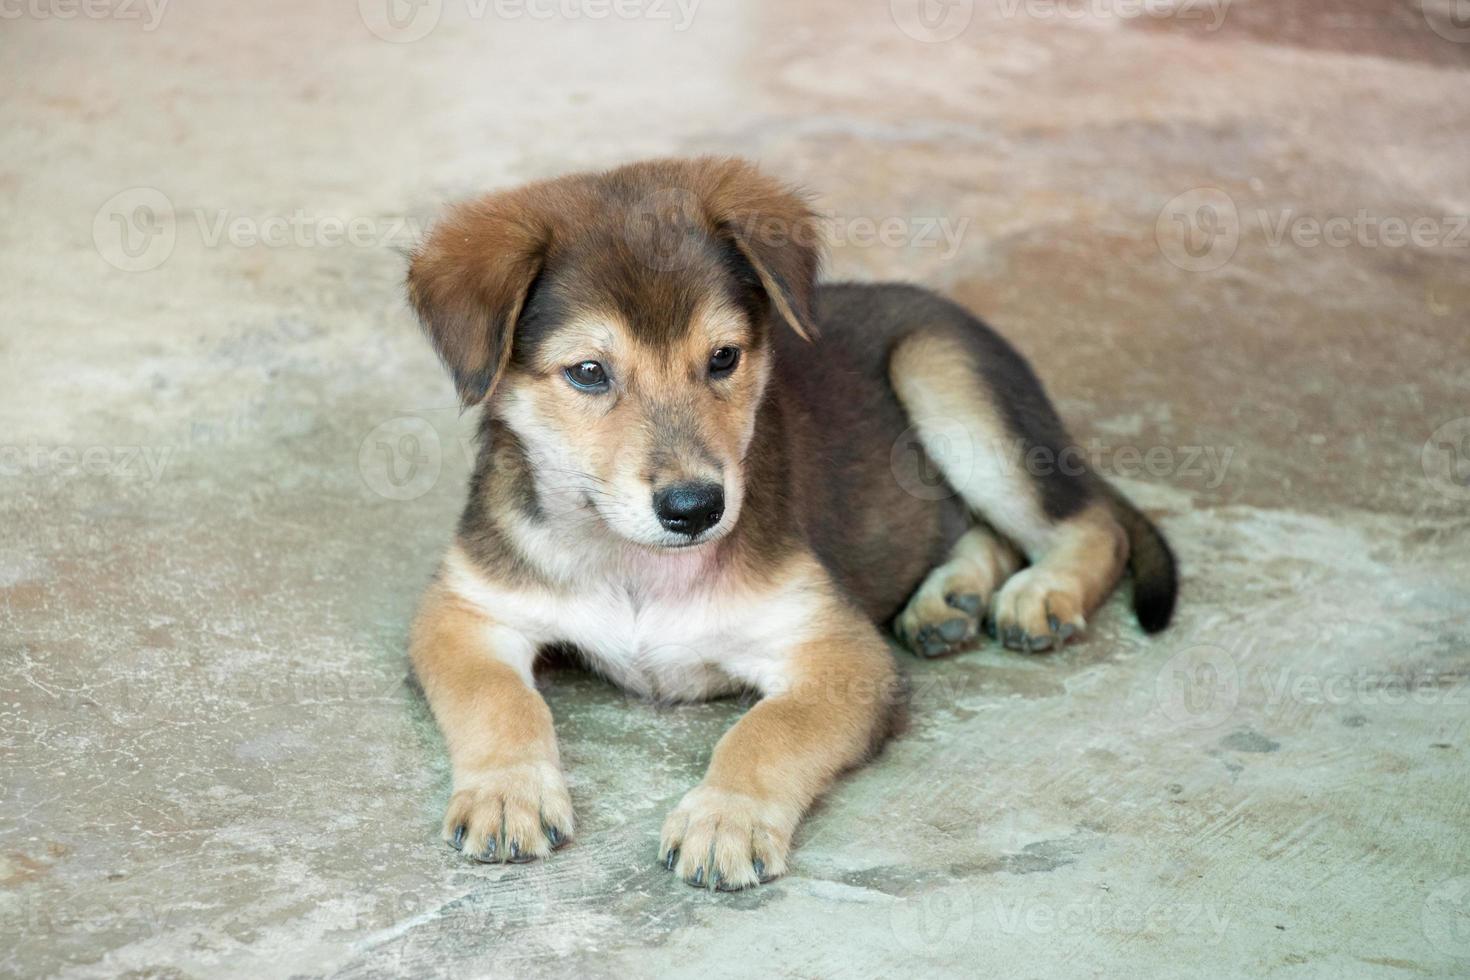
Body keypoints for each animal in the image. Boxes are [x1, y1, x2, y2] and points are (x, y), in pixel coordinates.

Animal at [396, 157, 1176, 893]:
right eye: (588, 372)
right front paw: (507, 793)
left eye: (723, 358)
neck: (633, 562)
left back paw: (1041, 593)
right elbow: (497, 699)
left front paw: (726, 817)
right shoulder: (462, 610)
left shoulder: (840, 653)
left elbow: (767, 731)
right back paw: (948, 600)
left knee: (1090, 524)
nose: (696, 509)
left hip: (944, 375)